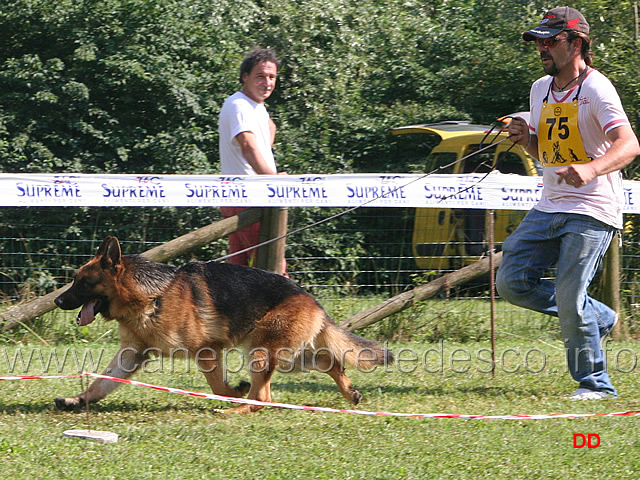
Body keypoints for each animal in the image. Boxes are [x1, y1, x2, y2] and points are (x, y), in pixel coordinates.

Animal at [55, 235, 392, 412]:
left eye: (82, 282)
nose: (57, 301)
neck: (150, 297)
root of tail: (311, 300)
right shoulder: (131, 354)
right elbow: (101, 382)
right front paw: (78, 400)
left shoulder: (207, 352)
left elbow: (218, 386)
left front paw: (233, 391)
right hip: (288, 356)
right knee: (328, 361)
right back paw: (350, 393)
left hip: (262, 353)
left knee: (262, 398)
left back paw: (237, 408)